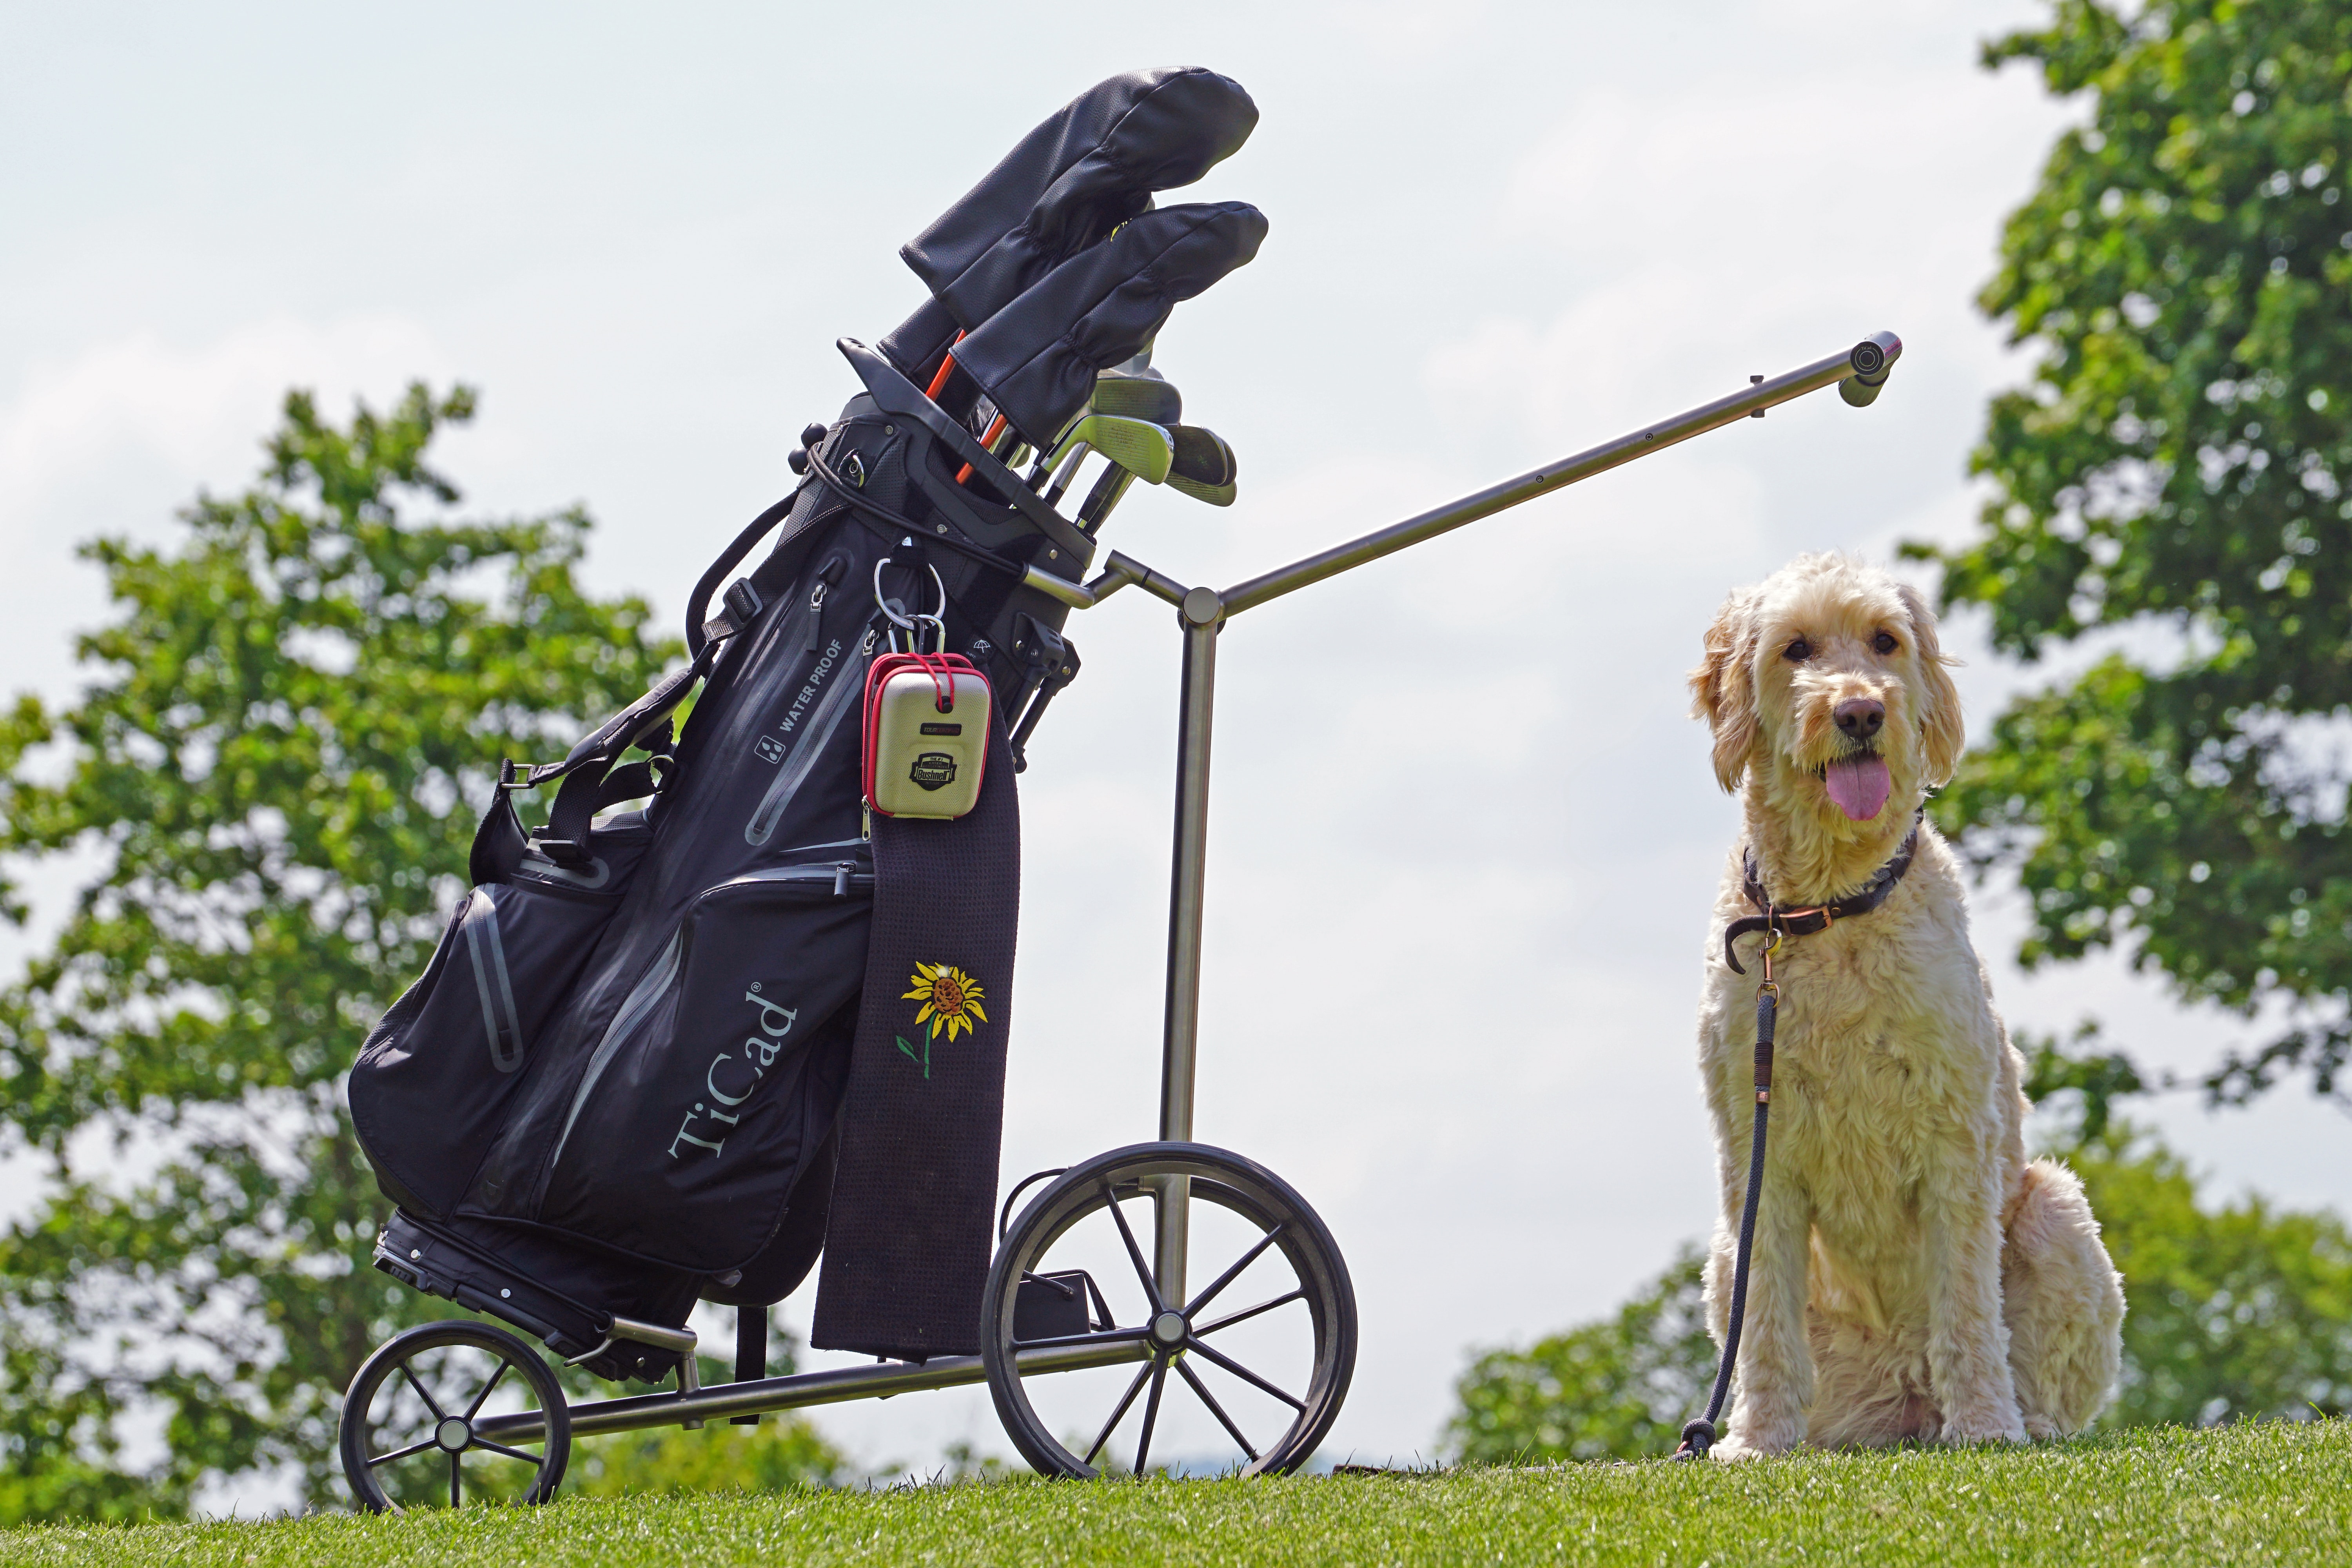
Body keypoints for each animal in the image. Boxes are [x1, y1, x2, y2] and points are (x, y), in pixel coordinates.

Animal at [1684, 555, 2126, 1457]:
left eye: (1885, 640)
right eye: (1796, 648)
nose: (1860, 710)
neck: (1833, 904)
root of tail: (1903, 1409)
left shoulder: (1954, 1135)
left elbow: (1967, 1302)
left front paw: (1986, 1424)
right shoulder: (1755, 1147)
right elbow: (1767, 1318)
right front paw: (1759, 1440)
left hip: (2058, 1211)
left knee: (2040, 1378)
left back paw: (2022, 1420)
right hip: (1720, 1257)